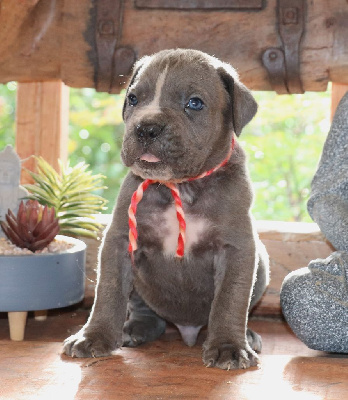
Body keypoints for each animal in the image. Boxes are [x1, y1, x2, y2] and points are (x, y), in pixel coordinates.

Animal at [63, 48, 270, 370]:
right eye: (133, 99)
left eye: (194, 103)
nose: (146, 128)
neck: (180, 187)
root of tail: (187, 329)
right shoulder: (120, 240)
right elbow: (108, 291)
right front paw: (93, 336)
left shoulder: (237, 248)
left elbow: (231, 298)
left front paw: (229, 346)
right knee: (145, 311)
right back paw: (134, 329)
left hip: (261, 263)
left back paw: (246, 335)